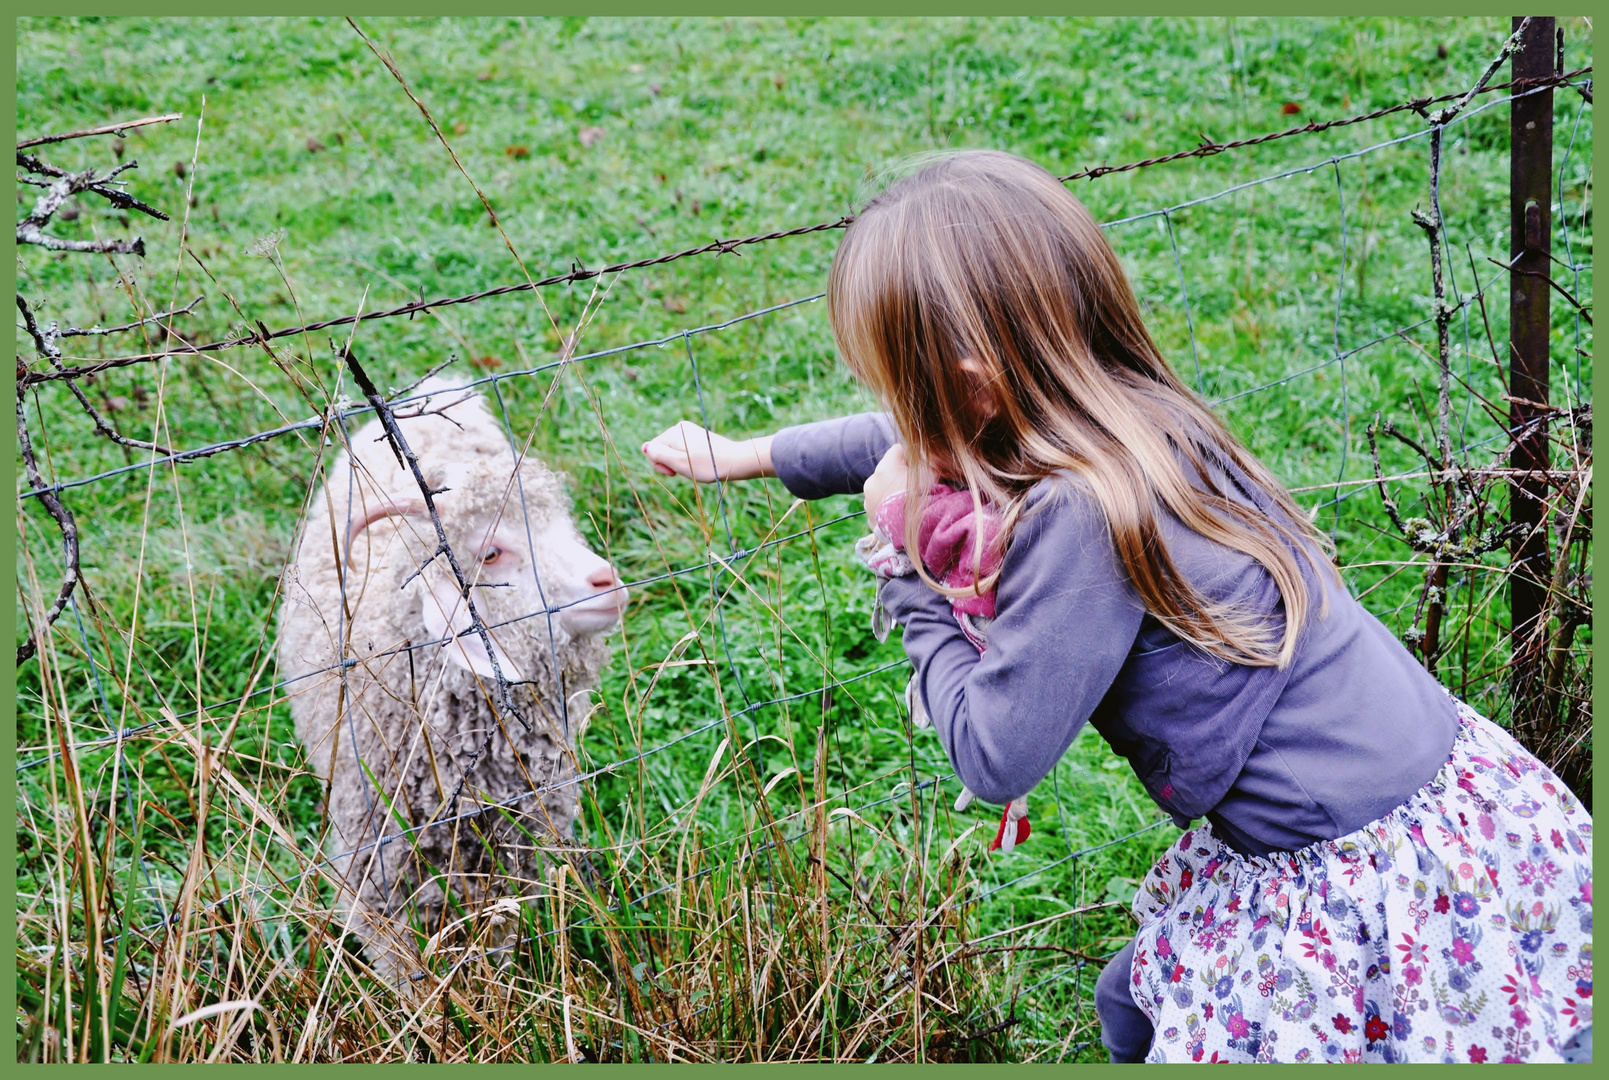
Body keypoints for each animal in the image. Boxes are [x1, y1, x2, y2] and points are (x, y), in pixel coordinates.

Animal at [276, 378, 627, 978]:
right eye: (491, 552)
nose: (607, 580)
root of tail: (435, 389)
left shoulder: (510, 862)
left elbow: (497, 946)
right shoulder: (377, 878)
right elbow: (408, 975)